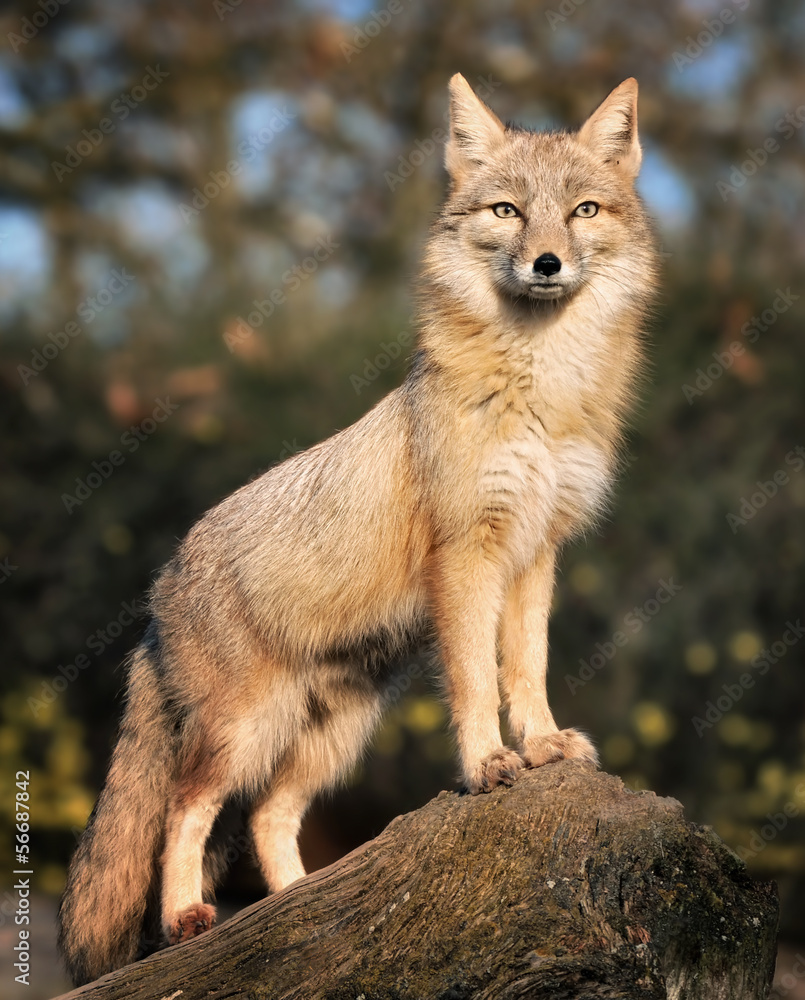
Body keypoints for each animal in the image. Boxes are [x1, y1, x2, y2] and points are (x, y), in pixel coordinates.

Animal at [58, 72, 660, 984]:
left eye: (582, 211)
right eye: (509, 211)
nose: (547, 263)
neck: (539, 392)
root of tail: (160, 591)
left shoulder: (534, 554)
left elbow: (524, 670)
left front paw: (543, 744)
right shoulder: (467, 553)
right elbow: (476, 681)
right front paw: (487, 764)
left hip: (328, 742)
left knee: (268, 821)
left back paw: (299, 912)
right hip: (244, 734)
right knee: (183, 813)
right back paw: (186, 918)